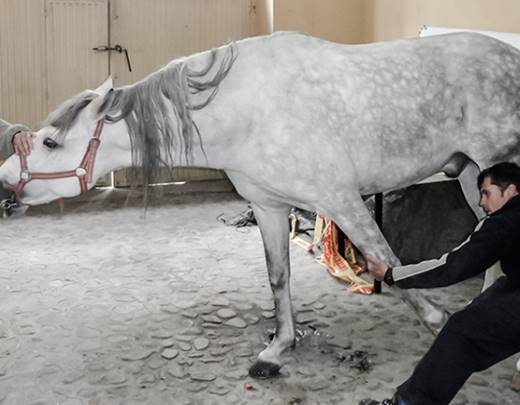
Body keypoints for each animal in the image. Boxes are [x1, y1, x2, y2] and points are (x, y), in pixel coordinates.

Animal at [1, 32, 520, 378]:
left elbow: (388, 261)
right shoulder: (269, 208)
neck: (246, 109)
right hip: (472, 174)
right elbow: (279, 277)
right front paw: (278, 348)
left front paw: (437, 323)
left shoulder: (341, 201)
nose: (5, 184)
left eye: (49, 143)